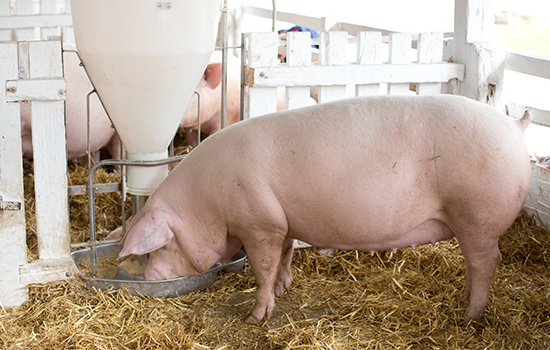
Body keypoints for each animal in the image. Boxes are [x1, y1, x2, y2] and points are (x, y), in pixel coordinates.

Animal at [117, 95, 536, 322]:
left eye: (164, 246)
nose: (149, 280)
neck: (208, 200)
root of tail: (515, 126)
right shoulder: (282, 221)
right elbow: (285, 255)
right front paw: (285, 288)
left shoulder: (259, 224)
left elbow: (263, 268)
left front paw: (256, 316)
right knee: (475, 264)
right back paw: (465, 300)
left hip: (478, 214)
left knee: (488, 261)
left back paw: (470, 314)